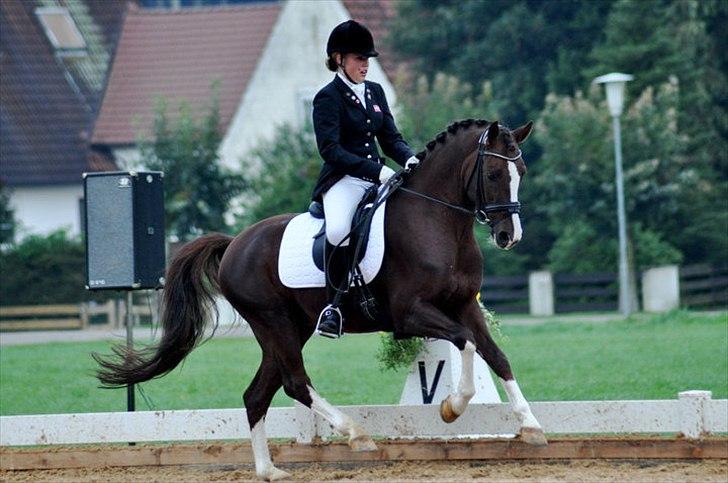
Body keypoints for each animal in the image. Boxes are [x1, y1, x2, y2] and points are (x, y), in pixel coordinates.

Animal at [95, 119, 546, 481]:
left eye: (521, 171)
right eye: (493, 172)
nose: (510, 236)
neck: (439, 223)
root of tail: (235, 242)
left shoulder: (465, 305)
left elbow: (496, 355)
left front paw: (531, 426)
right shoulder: (410, 314)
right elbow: (465, 344)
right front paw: (452, 406)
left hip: (287, 330)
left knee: (257, 394)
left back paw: (269, 470)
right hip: (274, 323)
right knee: (295, 382)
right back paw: (355, 434)